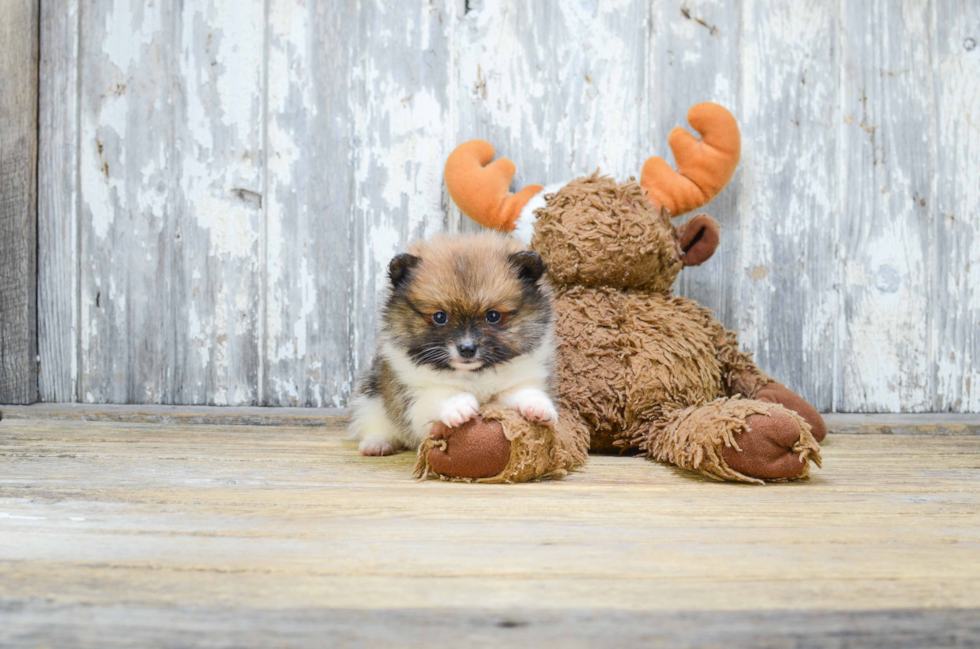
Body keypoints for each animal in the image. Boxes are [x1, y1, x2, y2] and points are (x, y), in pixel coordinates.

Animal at [350, 233, 560, 456]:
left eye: (493, 316)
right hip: (371, 397)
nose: (467, 349)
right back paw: (376, 443)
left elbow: (524, 392)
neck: (474, 376)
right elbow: (440, 395)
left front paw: (538, 407)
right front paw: (458, 405)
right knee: (375, 423)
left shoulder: (514, 384)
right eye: (440, 317)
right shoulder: (415, 400)